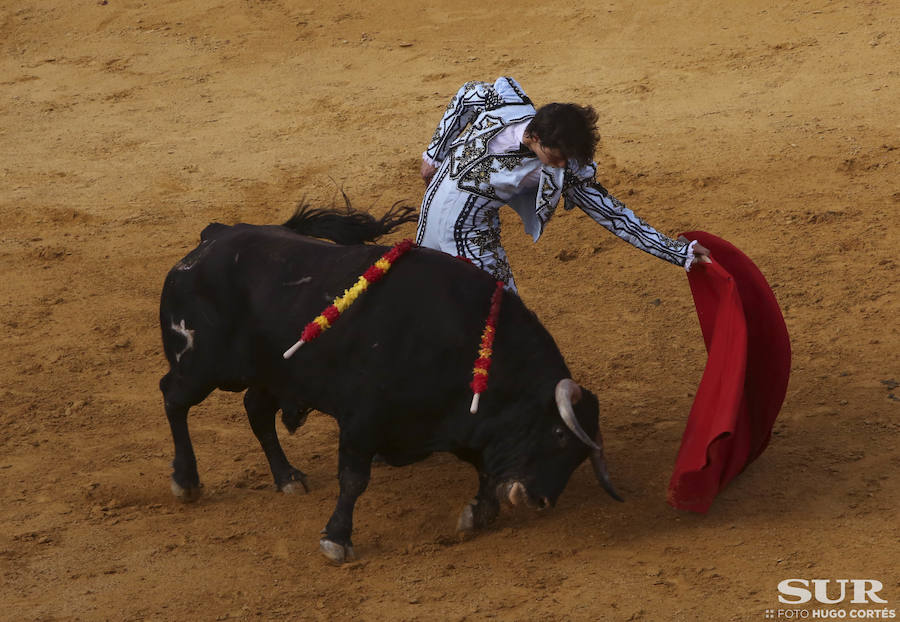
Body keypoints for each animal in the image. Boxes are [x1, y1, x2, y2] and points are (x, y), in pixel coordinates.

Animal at [158, 206, 624, 564]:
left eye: (580, 454)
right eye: (560, 434)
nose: (541, 500)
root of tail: (213, 237)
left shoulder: (462, 424)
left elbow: (486, 471)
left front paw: (476, 515)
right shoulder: (363, 419)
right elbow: (353, 479)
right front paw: (336, 540)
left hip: (273, 374)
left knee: (255, 410)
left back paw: (287, 477)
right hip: (201, 366)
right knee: (173, 397)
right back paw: (186, 481)